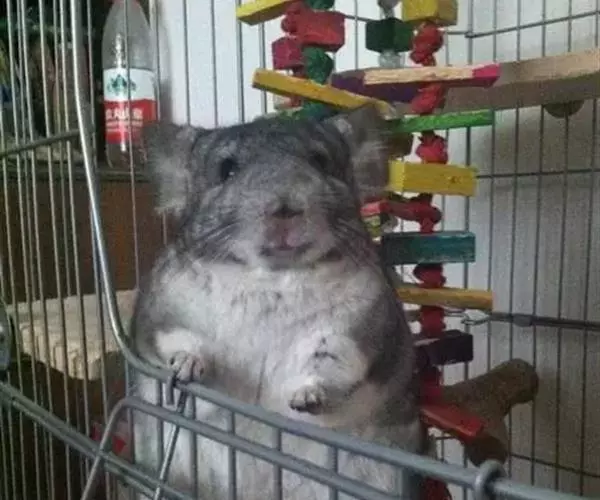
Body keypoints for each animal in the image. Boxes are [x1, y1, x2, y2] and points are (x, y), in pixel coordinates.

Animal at [129, 104, 426, 500]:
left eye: (320, 162)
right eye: (227, 170)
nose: (285, 207)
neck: (272, 279)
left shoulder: (367, 329)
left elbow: (336, 359)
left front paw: (307, 396)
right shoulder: (158, 316)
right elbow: (176, 342)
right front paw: (187, 366)